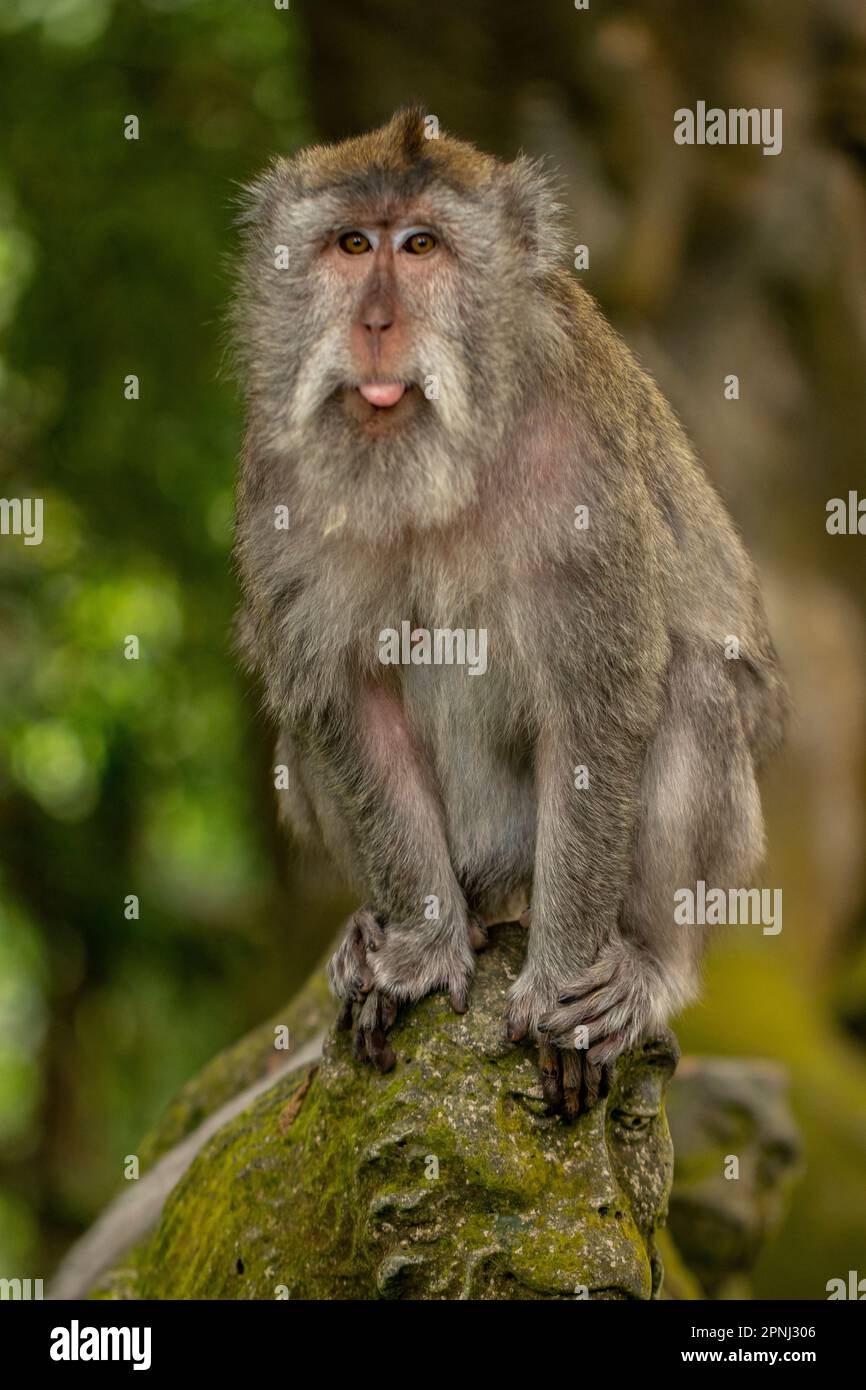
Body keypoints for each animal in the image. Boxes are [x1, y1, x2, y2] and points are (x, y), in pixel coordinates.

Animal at [231, 105, 787, 1117]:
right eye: (351, 244)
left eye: (421, 246)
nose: (376, 323)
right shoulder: (276, 475)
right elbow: (342, 696)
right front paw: (416, 952)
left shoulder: (580, 469)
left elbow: (598, 707)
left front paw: (563, 992)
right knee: (301, 732)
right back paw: (382, 930)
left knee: (691, 684)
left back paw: (645, 966)